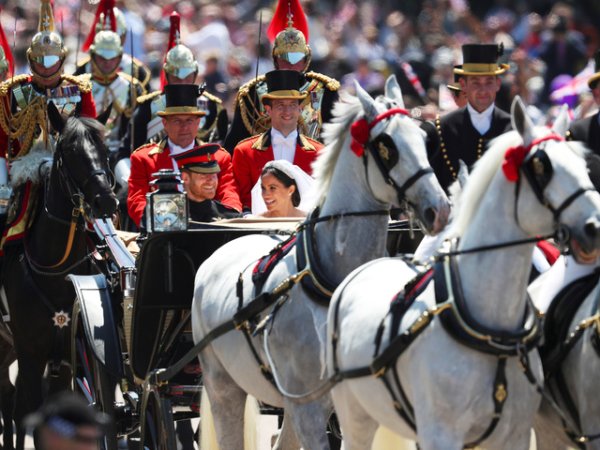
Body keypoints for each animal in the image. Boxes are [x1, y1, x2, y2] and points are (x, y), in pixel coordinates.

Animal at [0, 104, 117, 446]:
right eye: (70, 151)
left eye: (106, 150)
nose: (107, 201)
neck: (55, 272)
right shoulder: (31, 353)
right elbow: (32, 417)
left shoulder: (67, 354)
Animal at [326, 96, 600, 450]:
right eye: (542, 168)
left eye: (584, 166)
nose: (593, 228)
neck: (488, 329)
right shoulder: (440, 433)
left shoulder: (515, 433)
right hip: (355, 412)